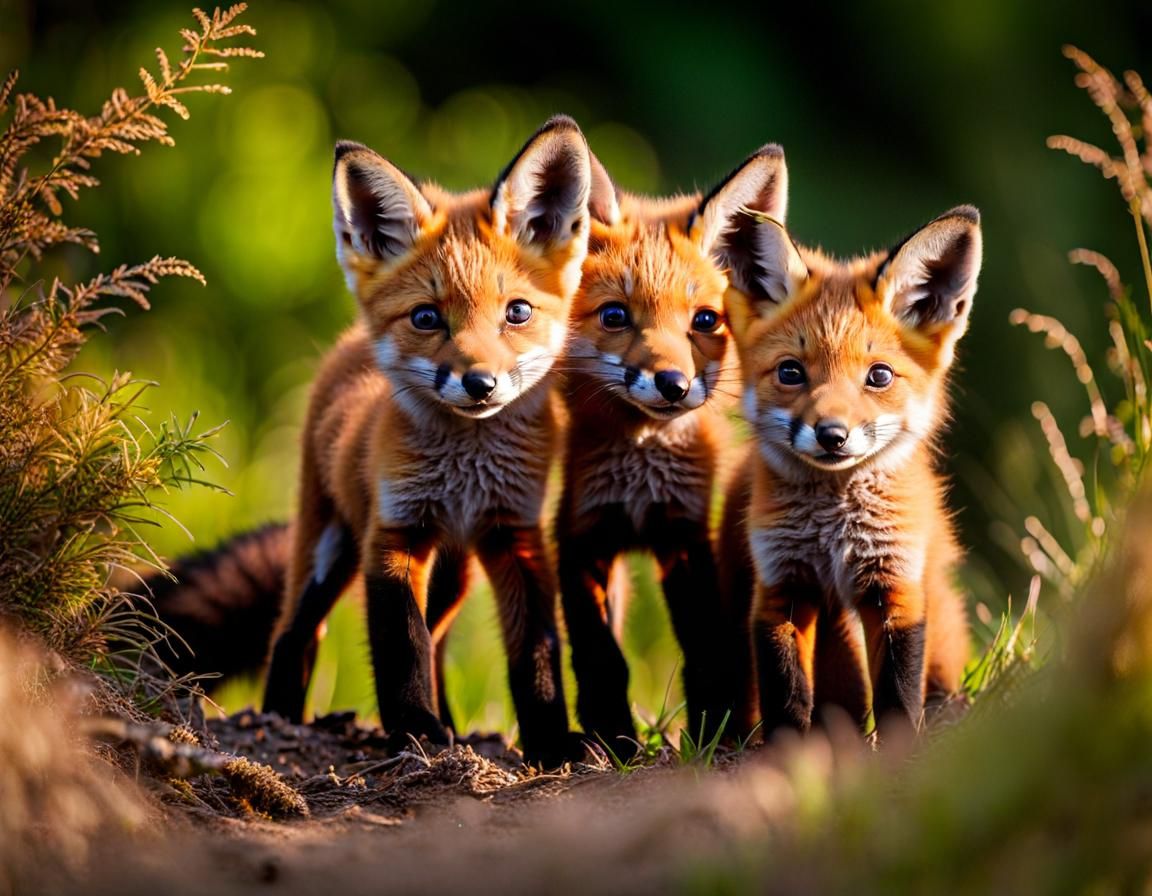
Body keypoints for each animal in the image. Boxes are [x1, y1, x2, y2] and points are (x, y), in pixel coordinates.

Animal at [259, 116, 596, 767]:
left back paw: (457, 728)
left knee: (439, 641)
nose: (480, 383)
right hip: (327, 549)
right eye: (426, 318)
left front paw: (548, 742)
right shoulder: (394, 536)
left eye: (517, 312)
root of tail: (347, 344)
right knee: (294, 633)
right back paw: (275, 721)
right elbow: (402, 650)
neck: (465, 473)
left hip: (453, 575)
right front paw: (415, 731)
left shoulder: (514, 535)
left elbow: (536, 651)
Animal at [556, 145, 793, 748]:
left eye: (705, 320)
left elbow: (705, 648)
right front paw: (611, 736)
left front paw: (711, 729)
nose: (673, 385)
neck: (641, 473)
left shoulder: (686, 535)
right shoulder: (580, 534)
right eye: (615, 315)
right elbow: (600, 654)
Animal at [718, 205, 979, 738]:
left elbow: (899, 693)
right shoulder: (781, 586)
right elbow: (786, 694)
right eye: (791, 372)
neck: (832, 532)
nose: (832, 435)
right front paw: (790, 752)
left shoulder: (894, 585)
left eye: (878, 375)